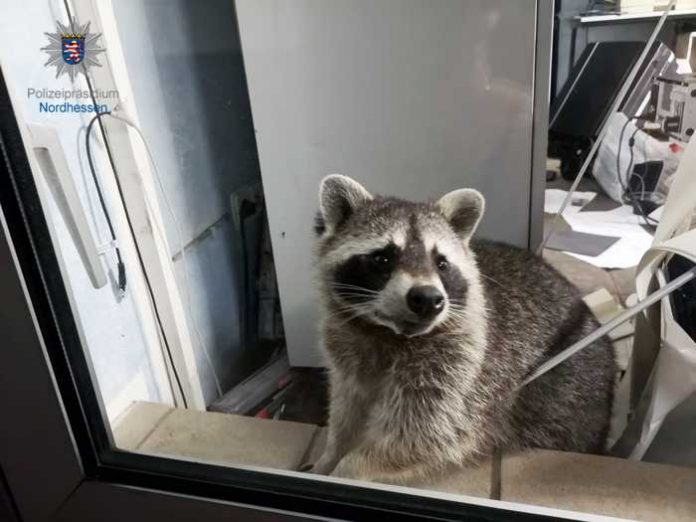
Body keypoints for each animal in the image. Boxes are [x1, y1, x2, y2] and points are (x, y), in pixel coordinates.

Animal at [312, 176, 616, 484]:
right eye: (383, 258)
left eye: (441, 263)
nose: (427, 299)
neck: (387, 333)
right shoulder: (347, 348)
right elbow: (347, 409)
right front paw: (331, 455)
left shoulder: (463, 367)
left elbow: (422, 435)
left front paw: (349, 468)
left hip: (567, 392)